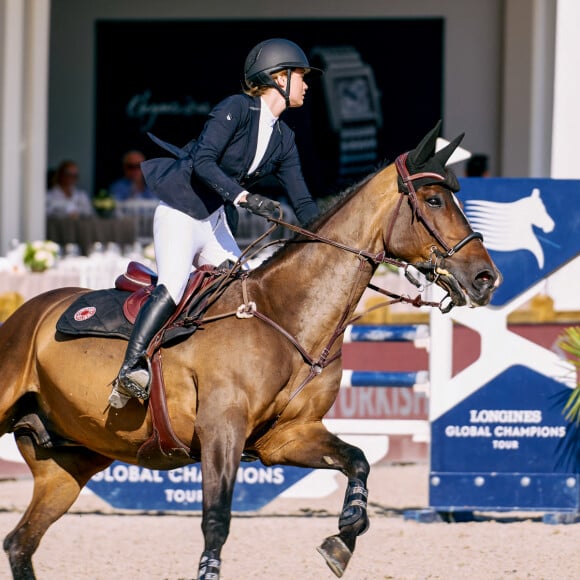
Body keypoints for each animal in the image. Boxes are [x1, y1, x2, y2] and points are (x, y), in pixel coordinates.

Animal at [0, 123, 498, 580]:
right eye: (433, 201)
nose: (486, 279)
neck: (287, 316)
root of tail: (28, 313)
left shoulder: (287, 436)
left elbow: (357, 460)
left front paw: (343, 538)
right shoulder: (222, 429)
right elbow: (216, 520)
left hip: (70, 462)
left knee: (21, 541)